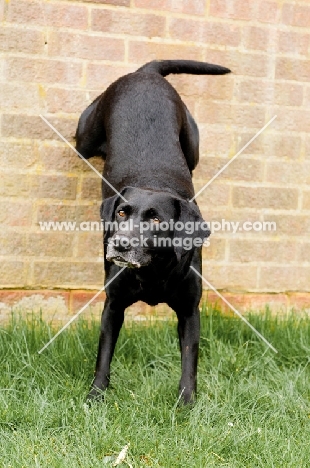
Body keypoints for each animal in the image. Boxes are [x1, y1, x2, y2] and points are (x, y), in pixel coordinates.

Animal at [75, 59, 230, 402]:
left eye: (156, 220)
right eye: (121, 212)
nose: (119, 244)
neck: (153, 270)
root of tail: (147, 72)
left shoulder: (189, 311)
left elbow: (189, 359)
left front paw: (186, 403)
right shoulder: (113, 306)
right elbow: (103, 355)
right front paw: (95, 396)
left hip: (192, 144)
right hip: (85, 137)